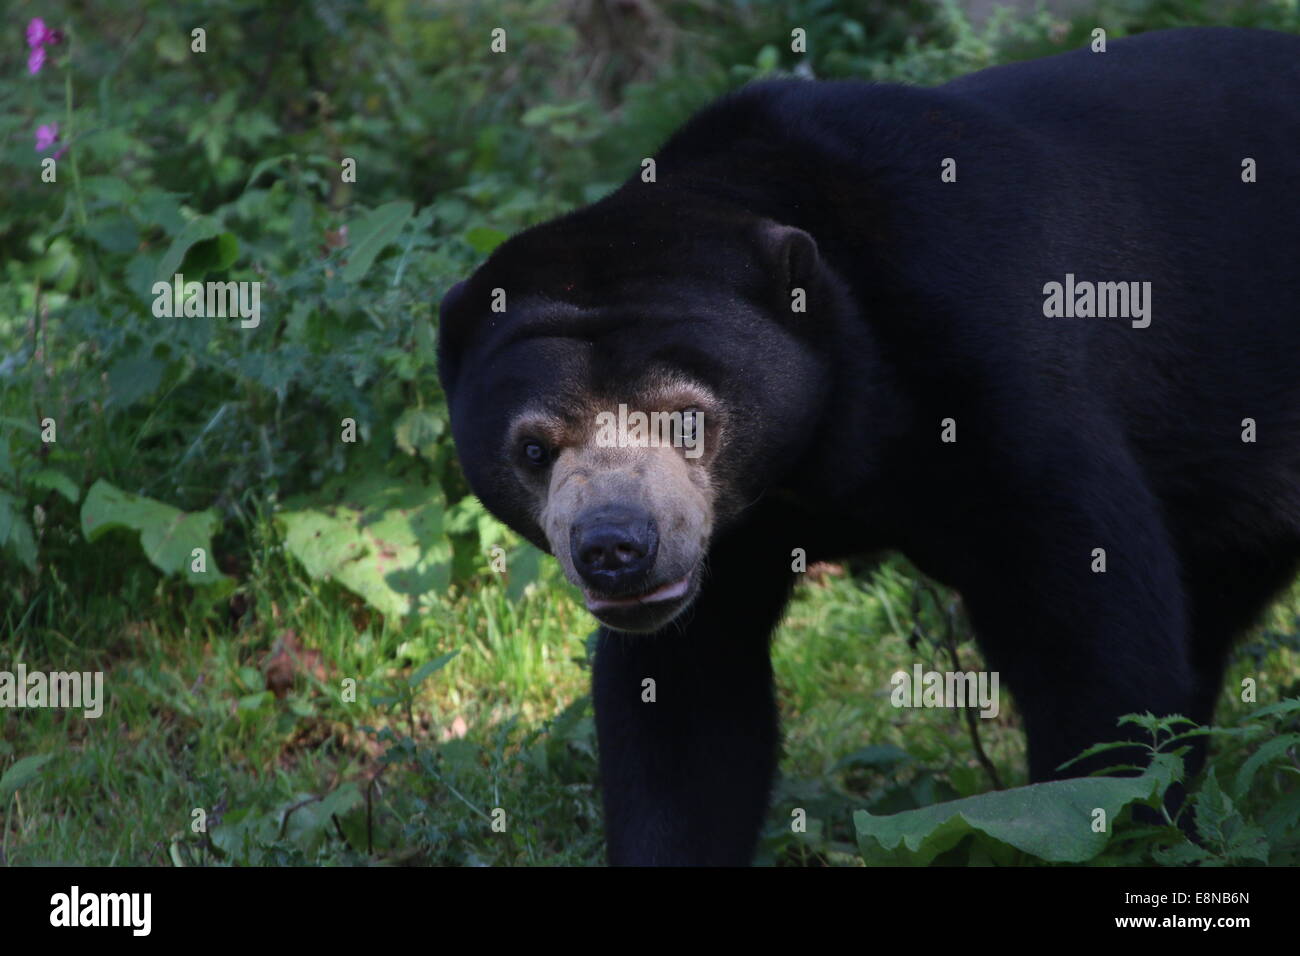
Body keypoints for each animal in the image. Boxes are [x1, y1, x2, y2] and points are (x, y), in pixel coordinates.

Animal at [436, 27, 1300, 865]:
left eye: (688, 419)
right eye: (536, 449)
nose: (615, 548)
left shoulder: (992, 367)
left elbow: (1095, 642)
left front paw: (1112, 824)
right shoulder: (727, 529)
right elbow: (685, 700)